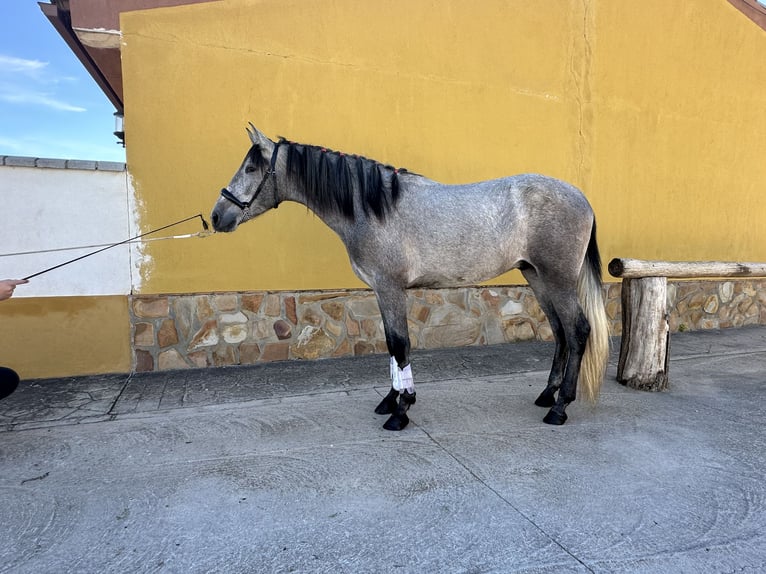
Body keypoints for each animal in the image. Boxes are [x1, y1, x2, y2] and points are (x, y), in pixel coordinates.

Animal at [210, 126, 612, 432]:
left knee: (578, 330)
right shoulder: (381, 290)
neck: (373, 208)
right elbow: (391, 346)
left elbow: (400, 345)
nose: (216, 216)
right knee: (560, 332)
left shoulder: (390, 288)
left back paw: (560, 408)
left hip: (558, 279)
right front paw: (392, 400)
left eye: (250, 167)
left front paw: (401, 412)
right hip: (537, 277)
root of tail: (583, 198)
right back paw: (546, 395)